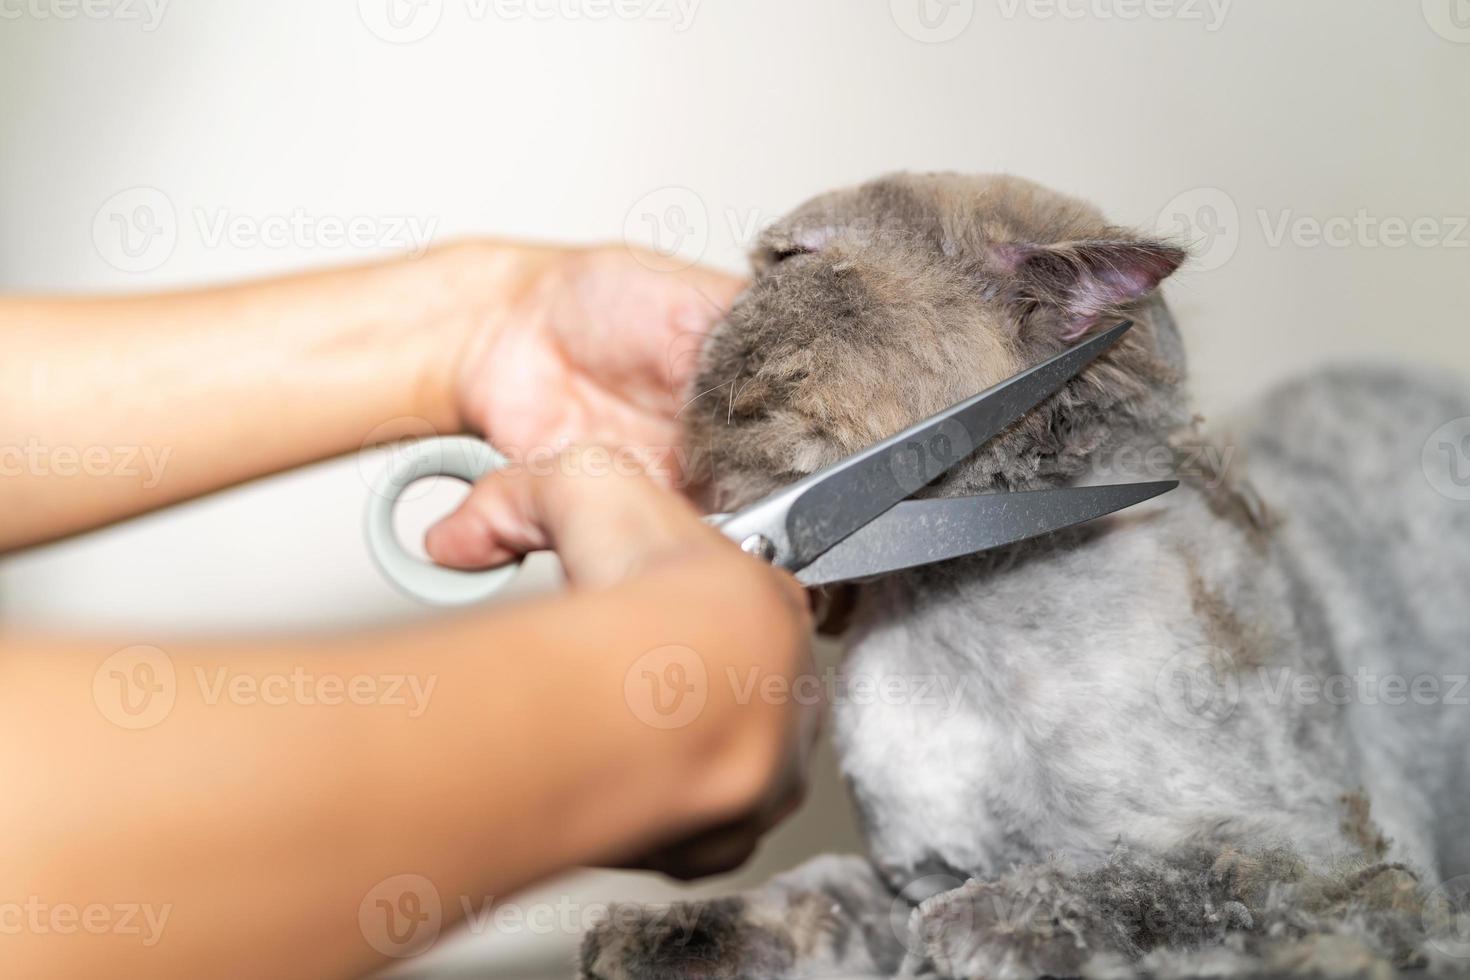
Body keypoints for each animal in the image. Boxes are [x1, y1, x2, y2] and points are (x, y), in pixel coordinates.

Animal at [576, 172, 1470, 975]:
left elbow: (1142, 882)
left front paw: (988, 924)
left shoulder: (1340, 868)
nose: (721, 304)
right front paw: (671, 934)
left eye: (788, 257)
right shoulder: (901, 879)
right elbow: (808, 902)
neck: (958, 631)